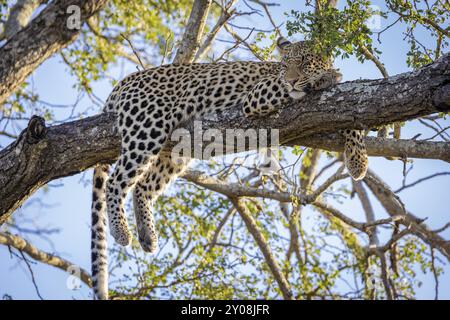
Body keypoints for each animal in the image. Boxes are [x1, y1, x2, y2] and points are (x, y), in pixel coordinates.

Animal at [89, 37, 368, 300]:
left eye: (304, 61)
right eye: (285, 65)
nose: (291, 80)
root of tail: (127, 80)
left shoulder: (336, 109)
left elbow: (352, 120)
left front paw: (358, 161)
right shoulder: (258, 94)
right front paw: (327, 77)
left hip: (178, 150)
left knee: (143, 186)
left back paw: (148, 235)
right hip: (147, 128)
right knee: (115, 182)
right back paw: (122, 232)